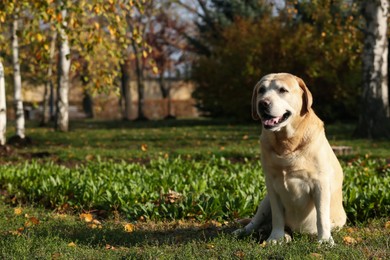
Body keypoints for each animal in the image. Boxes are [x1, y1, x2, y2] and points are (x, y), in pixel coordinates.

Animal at [233, 73, 346, 246]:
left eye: (282, 90)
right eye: (261, 90)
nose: (262, 103)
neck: (286, 143)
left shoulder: (320, 184)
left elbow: (321, 216)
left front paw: (325, 239)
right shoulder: (272, 185)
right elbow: (278, 216)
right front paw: (276, 237)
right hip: (265, 202)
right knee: (255, 222)